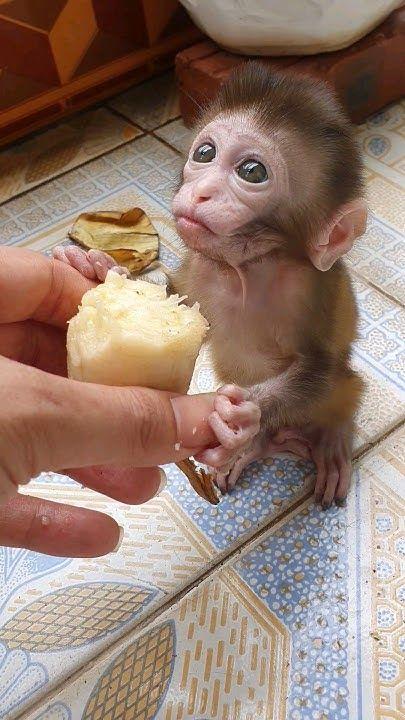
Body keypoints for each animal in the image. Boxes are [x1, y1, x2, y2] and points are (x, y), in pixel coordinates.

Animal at [54, 61, 367, 508]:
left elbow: (320, 366)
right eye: (205, 153)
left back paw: (327, 439)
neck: (245, 273)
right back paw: (255, 449)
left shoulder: (310, 292)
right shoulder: (199, 267)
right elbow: (181, 301)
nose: (200, 192)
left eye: (252, 172)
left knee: (342, 386)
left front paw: (245, 413)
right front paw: (95, 265)